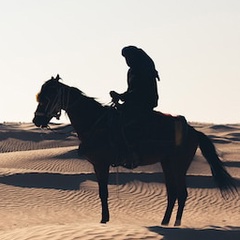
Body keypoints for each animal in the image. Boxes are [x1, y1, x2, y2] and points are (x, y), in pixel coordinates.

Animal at [32, 75, 237, 227]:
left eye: (48, 97)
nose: (37, 120)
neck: (95, 122)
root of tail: (193, 131)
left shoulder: (101, 164)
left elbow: (103, 192)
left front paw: (104, 220)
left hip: (179, 165)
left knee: (182, 193)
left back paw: (177, 223)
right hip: (167, 163)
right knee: (172, 192)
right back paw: (164, 222)